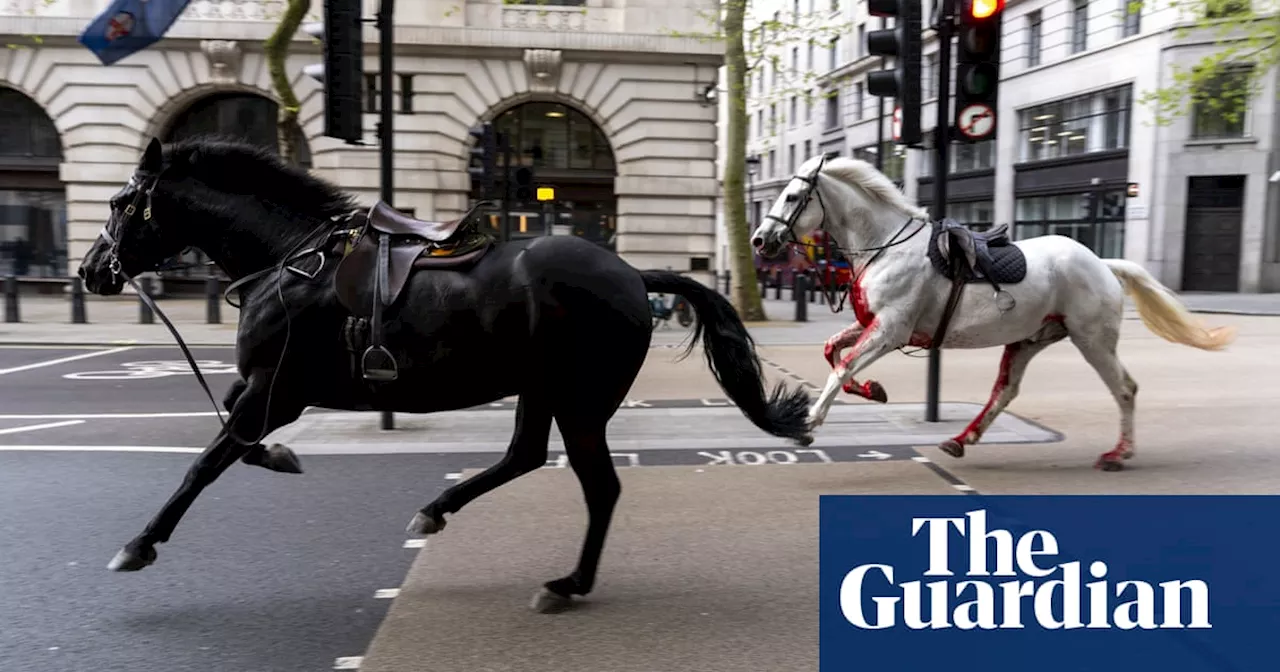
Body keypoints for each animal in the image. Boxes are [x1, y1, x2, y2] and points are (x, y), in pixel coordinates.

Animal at [80, 135, 814, 606]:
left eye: (119, 204)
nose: (90, 271)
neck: (289, 260)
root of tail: (635, 275)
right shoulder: (266, 387)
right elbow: (234, 437)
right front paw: (281, 456)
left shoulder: (277, 388)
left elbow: (208, 460)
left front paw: (140, 543)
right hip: (542, 389)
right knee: (524, 456)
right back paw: (437, 511)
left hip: (579, 400)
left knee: (599, 487)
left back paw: (567, 584)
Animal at [752, 154, 1233, 468]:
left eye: (792, 196)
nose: (759, 240)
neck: (885, 246)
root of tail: (1102, 263)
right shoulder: (874, 324)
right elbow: (833, 351)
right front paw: (873, 390)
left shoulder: (890, 330)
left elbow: (842, 366)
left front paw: (808, 423)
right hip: (1029, 340)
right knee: (1005, 391)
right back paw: (962, 439)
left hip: (1092, 339)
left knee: (1125, 389)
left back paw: (1119, 453)